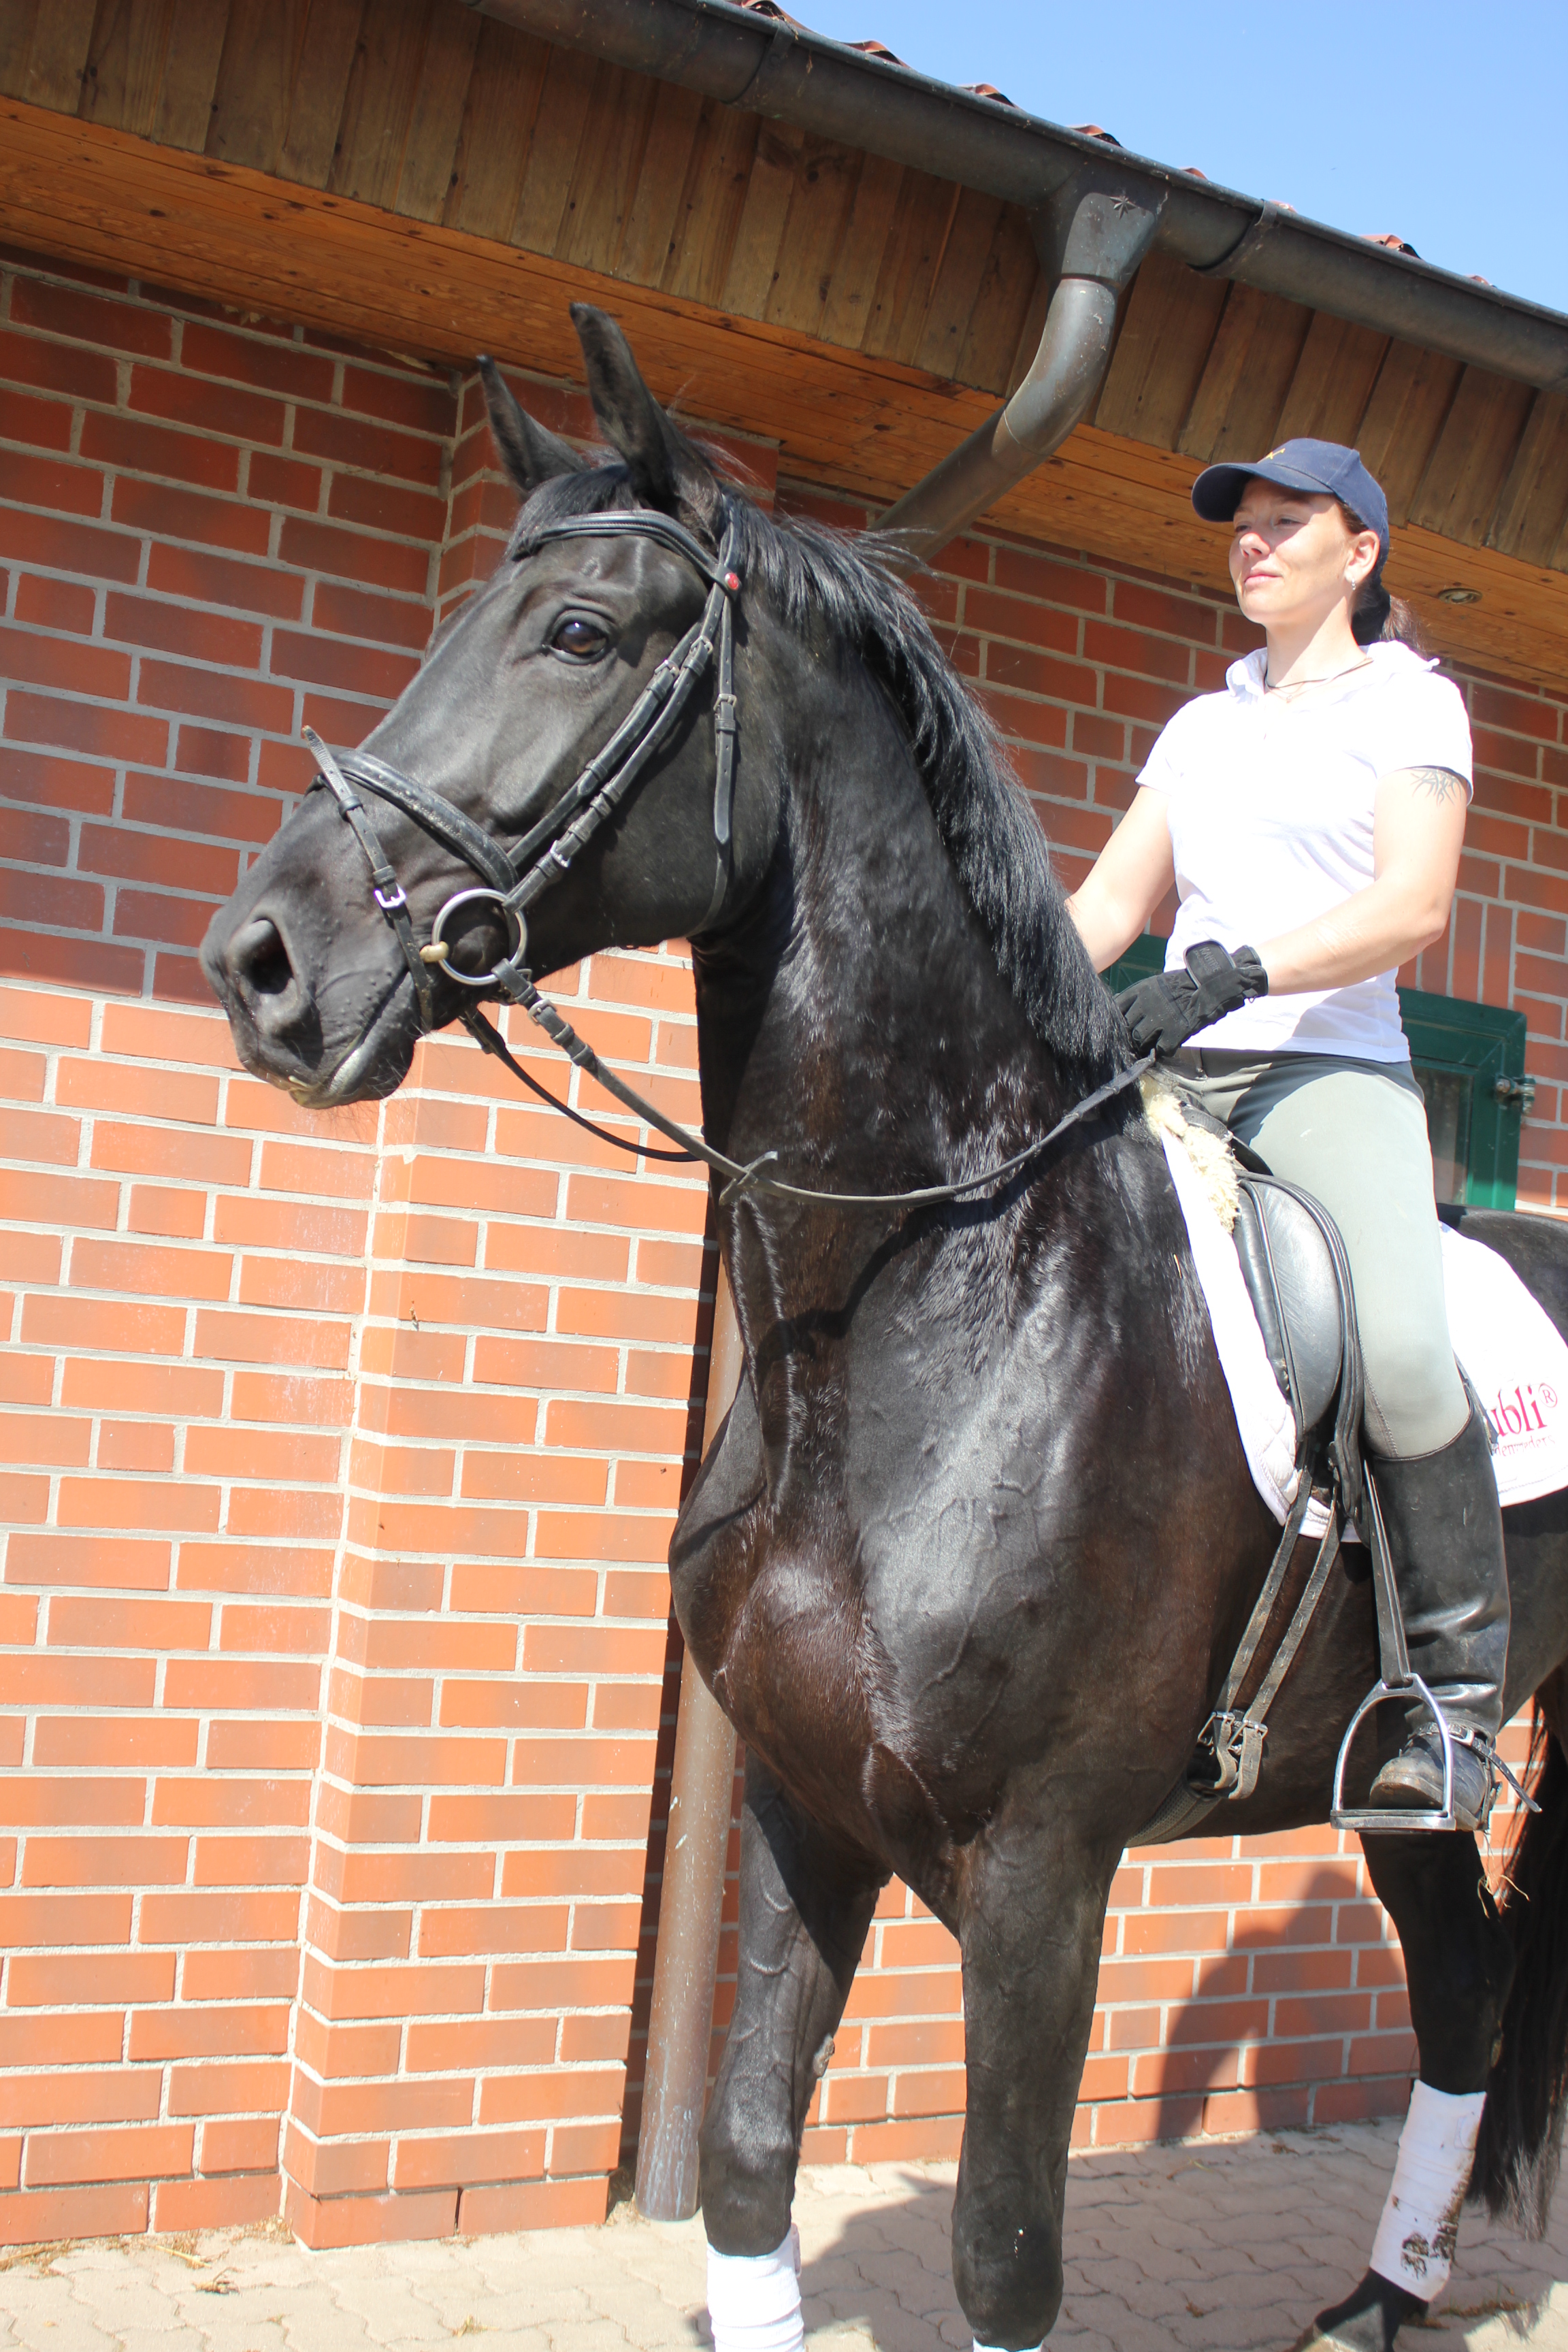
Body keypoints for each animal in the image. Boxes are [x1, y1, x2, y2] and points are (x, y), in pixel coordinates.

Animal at [201, 302, 1568, 2352]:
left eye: (580, 632)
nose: (266, 964)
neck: (914, 1314)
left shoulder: (1038, 1872)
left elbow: (1005, 2247)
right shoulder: (800, 1795)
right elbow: (750, 2152)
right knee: (1467, 1990)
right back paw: (1377, 2299)